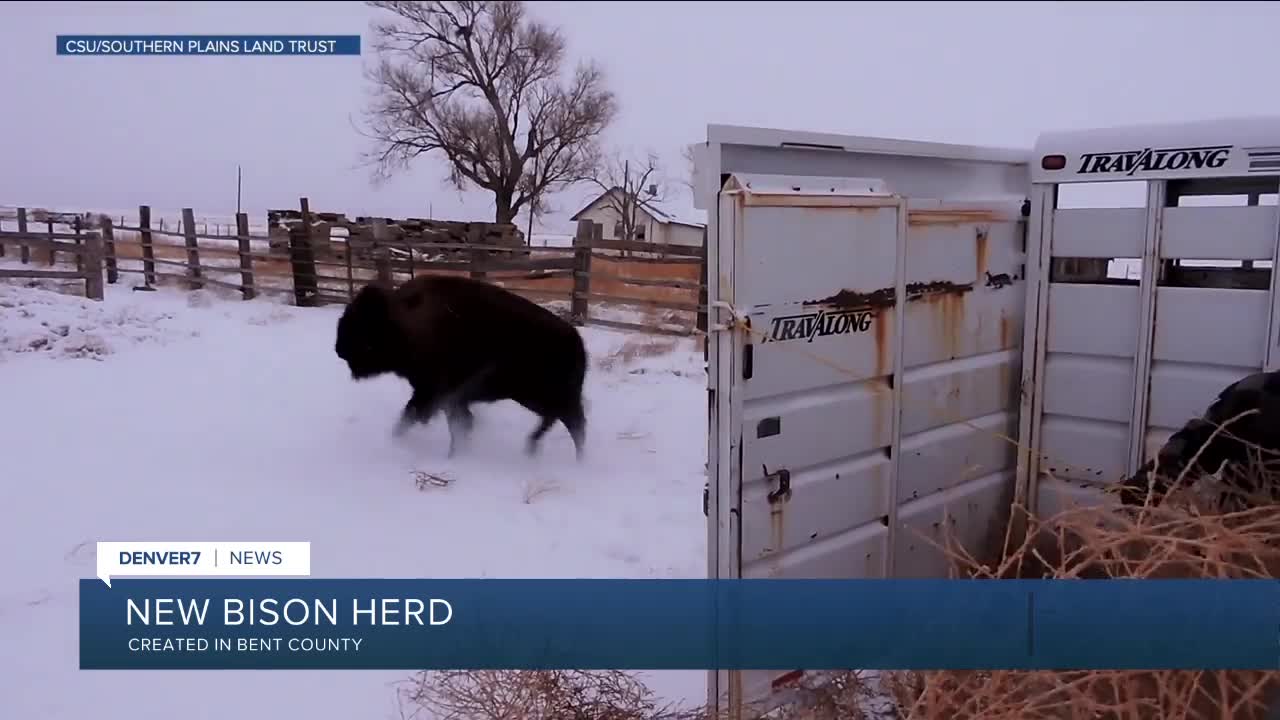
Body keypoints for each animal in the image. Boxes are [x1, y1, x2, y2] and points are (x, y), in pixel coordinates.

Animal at [332, 274, 586, 458]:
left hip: (548, 396)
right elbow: (458, 424)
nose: (338, 348)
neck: (404, 320)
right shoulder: (448, 399)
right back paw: (535, 448)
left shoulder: (433, 393)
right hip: (533, 397)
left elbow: (414, 416)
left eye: (363, 322)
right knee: (558, 420)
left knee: (574, 424)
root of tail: (576, 340)